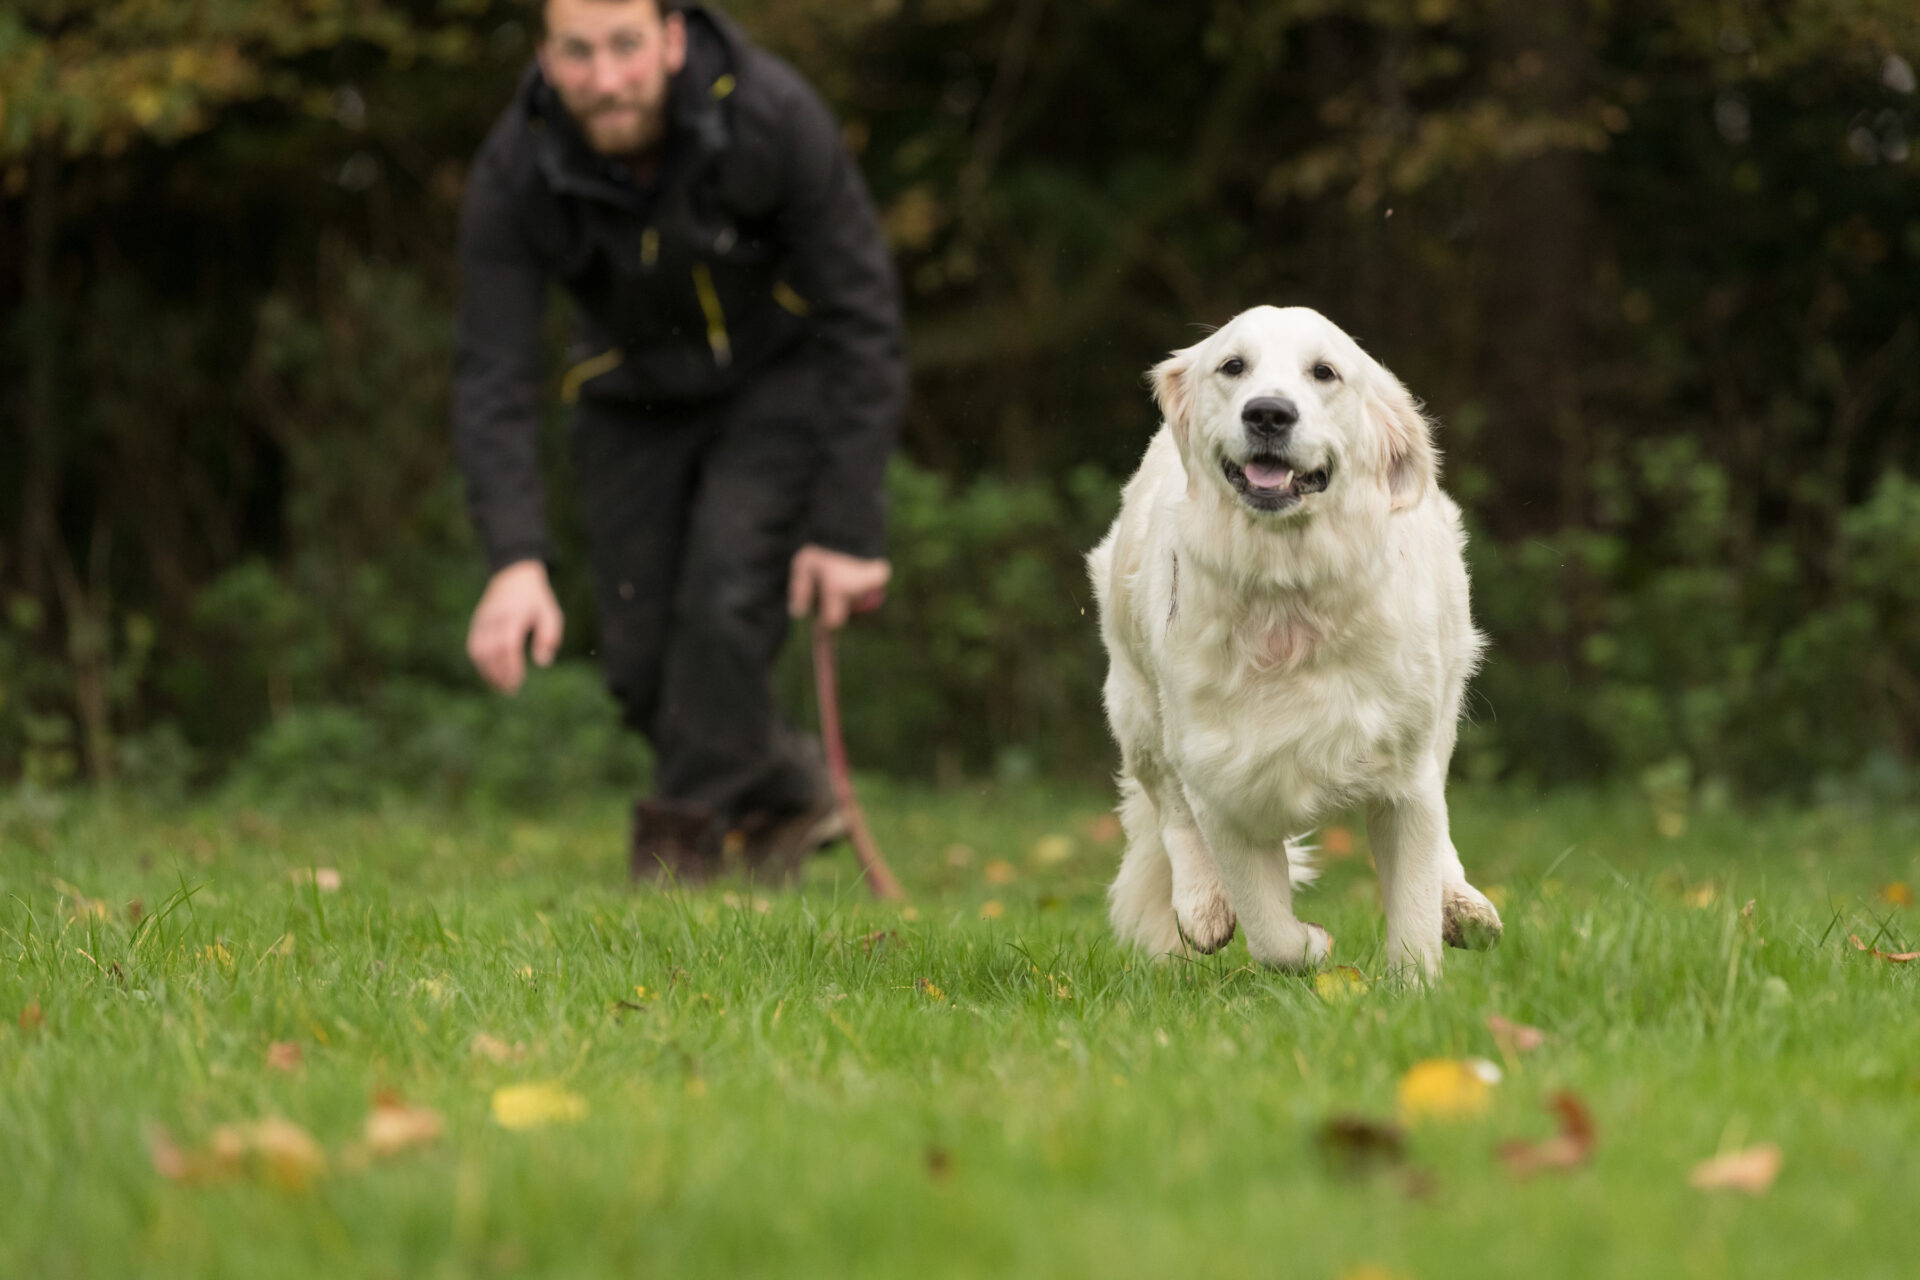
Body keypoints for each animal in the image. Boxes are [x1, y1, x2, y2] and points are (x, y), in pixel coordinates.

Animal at [1090, 303, 1505, 982]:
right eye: (1233, 366)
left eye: (1325, 372)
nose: (1268, 413)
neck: (1287, 596)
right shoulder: (1223, 784)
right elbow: (1270, 932)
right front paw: (1313, 945)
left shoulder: (1404, 782)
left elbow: (1414, 912)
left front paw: (1415, 991)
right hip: (1136, 701)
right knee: (1169, 805)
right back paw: (1202, 905)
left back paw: (1464, 907)